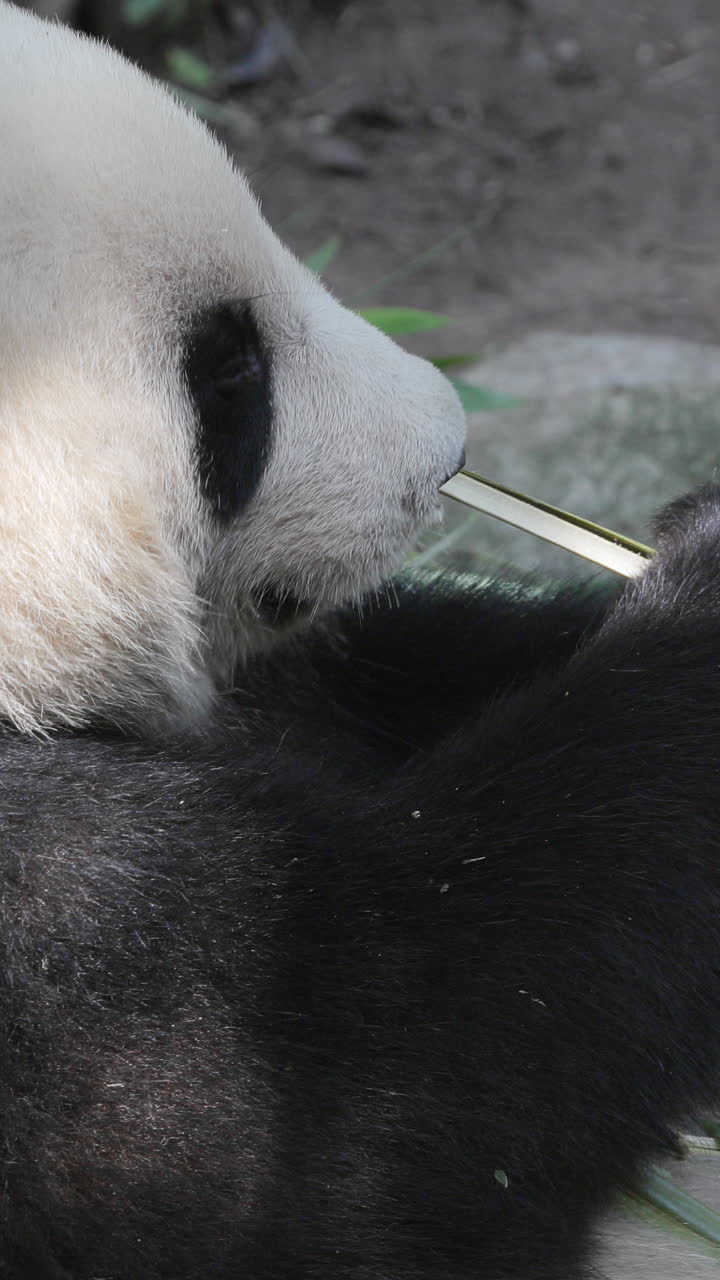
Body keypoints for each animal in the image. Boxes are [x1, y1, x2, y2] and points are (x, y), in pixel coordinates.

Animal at [1, 4, 720, 1279]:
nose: (447, 448)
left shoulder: (311, 676)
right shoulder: (41, 960)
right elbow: (383, 1108)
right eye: (230, 374)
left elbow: (413, 668)